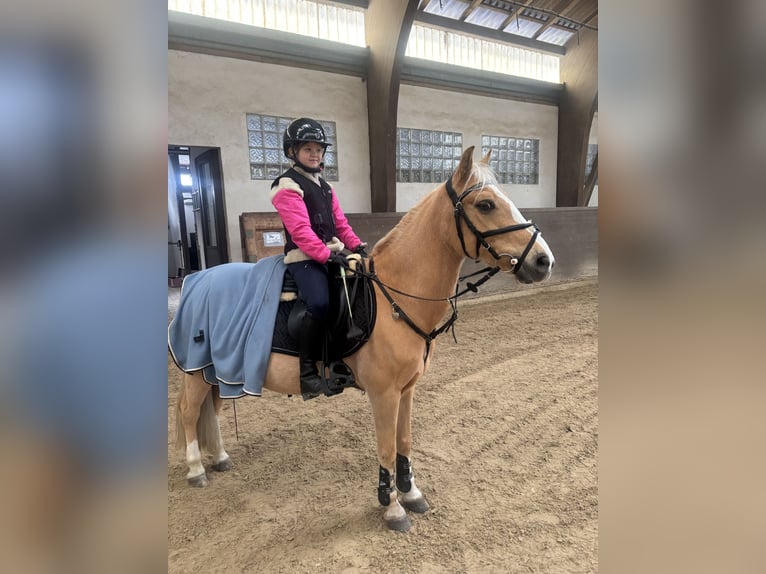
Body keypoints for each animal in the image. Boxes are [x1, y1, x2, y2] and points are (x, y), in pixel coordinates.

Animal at [172, 146, 555, 532]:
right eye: (486, 205)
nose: (543, 261)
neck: (395, 299)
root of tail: (197, 280)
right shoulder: (383, 394)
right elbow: (386, 447)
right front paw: (393, 508)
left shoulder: (406, 390)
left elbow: (404, 442)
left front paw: (411, 493)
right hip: (196, 371)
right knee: (189, 412)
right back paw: (195, 469)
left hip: (216, 372)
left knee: (211, 412)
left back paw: (219, 457)